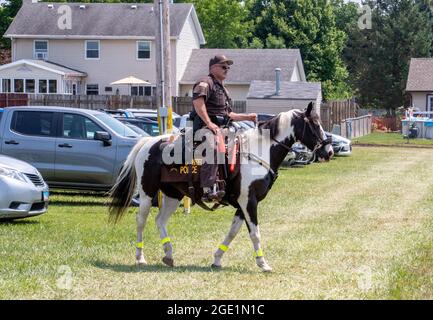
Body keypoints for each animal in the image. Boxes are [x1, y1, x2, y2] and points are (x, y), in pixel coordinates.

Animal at [109, 103, 334, 272]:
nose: (329, 151)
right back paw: (140, 257)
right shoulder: (249, 202)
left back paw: (169, 255)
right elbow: (255, 233)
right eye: (315, 124)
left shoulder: (242, 205)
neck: (259, 151)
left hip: (173, 195)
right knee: (141, 221)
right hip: (147, 193)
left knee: (160, 221)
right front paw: (263, 264)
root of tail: (149, 142)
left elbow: (233, 232)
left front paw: (217, 259)